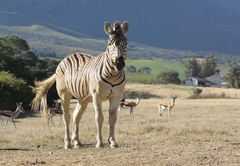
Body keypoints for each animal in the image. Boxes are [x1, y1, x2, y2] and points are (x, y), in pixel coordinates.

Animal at [31, 20, 130, 149]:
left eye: (126, 43)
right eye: (109, 44)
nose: (119, 64)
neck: (113, 75)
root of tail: (68, 56)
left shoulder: (116, 96)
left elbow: (113, 118)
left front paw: (112, 142)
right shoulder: (96, 95)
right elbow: (99, 118)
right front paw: (99, 142)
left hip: (82, 98)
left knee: (76, 116)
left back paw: (77, 142)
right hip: (64, 94)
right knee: (66, 117)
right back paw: (68, 143)